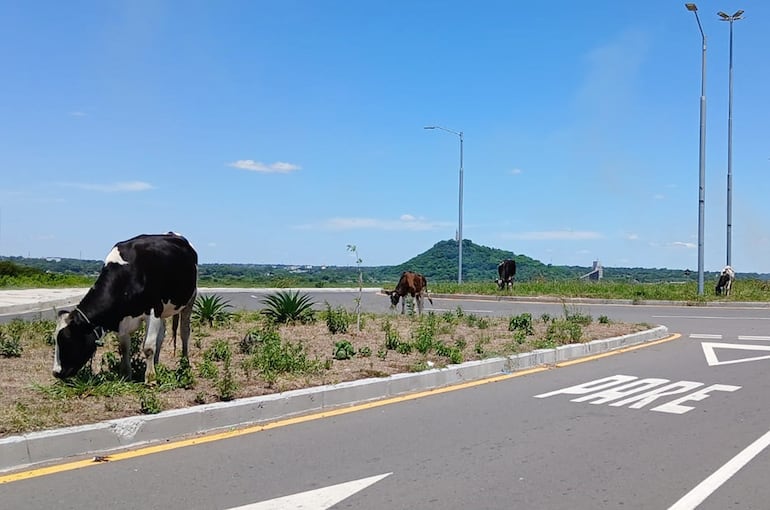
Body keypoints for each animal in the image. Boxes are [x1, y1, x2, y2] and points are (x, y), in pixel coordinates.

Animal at [52, 232, 196, 382]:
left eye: (67, 340)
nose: (56, 372)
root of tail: (172, 234)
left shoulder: (154, 310)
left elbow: (148, 347)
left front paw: (150, 378)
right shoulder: (121, 319)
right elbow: (125, 347)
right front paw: (126, 375)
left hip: (191, 298)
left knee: (184, 332)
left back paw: (185, 364)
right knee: (161, 335)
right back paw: (156, 364)